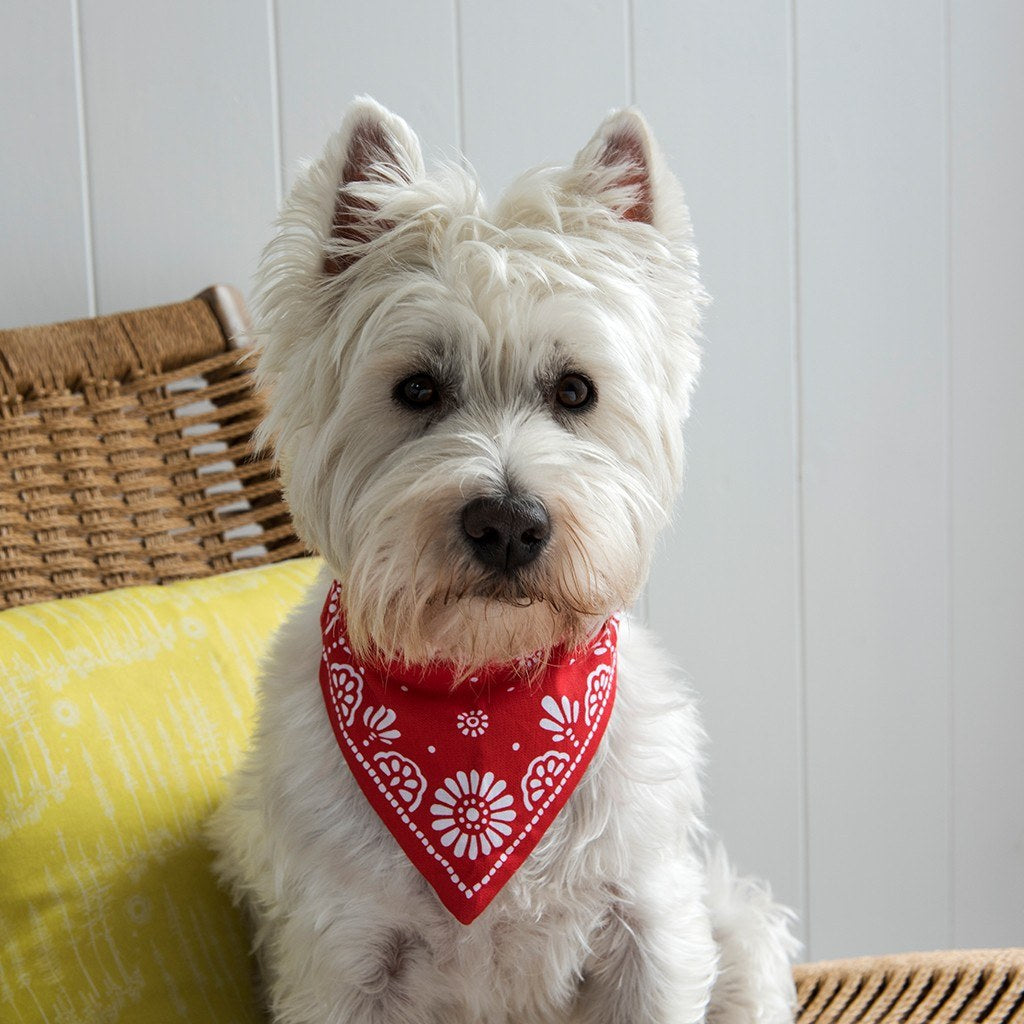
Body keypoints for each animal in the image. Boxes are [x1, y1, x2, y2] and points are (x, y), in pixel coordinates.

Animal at [209, 97, 798, 1024]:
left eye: (575, 390)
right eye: (417, 388)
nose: (510, 525)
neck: (481, 709)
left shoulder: (648, 926)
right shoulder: (345, 959)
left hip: (733, 921)